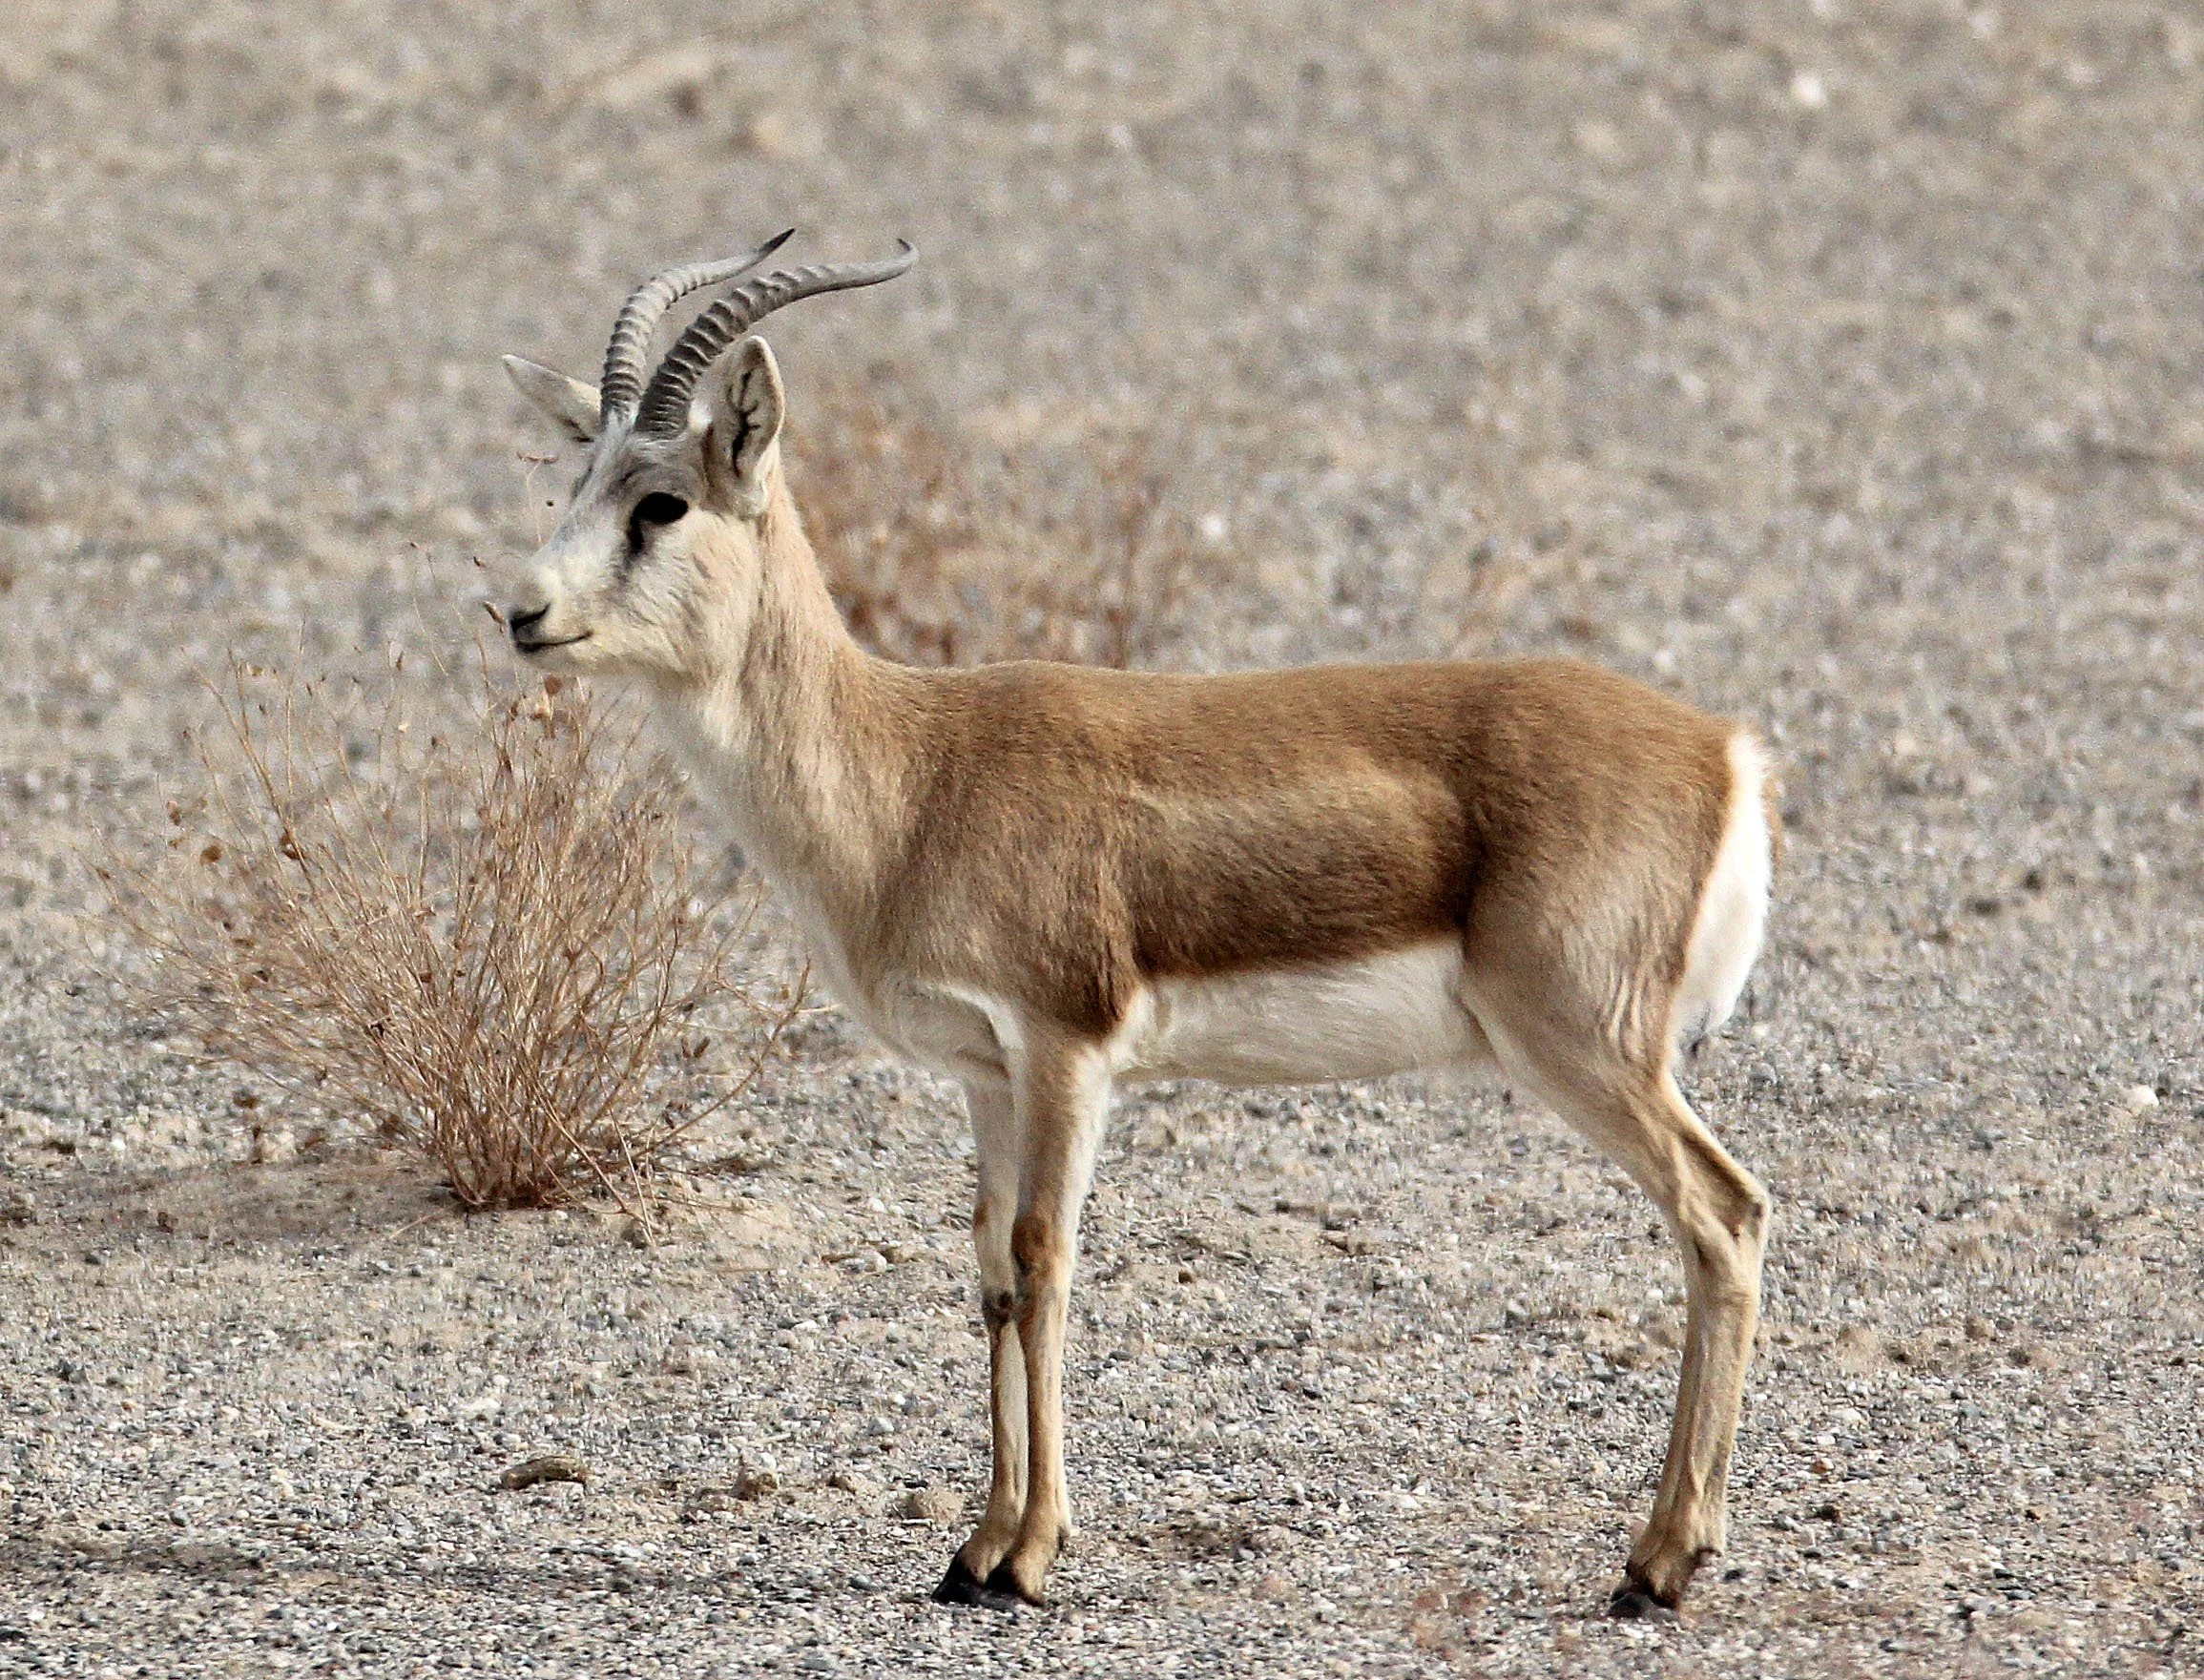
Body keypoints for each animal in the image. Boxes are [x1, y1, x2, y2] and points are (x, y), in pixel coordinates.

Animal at [499, 234, 1779, 1620]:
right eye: (576, 479)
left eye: (663, 503)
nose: (522, 613)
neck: (913, 775)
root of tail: (1722, 750)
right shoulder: (986, 1072)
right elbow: (991, 1275)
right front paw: (970, 1549)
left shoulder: (1068, 1049)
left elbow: (1047, 1260)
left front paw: (1030, 1556)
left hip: (1582, 1045)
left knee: (1724, 1216)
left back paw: (1660, 1562)